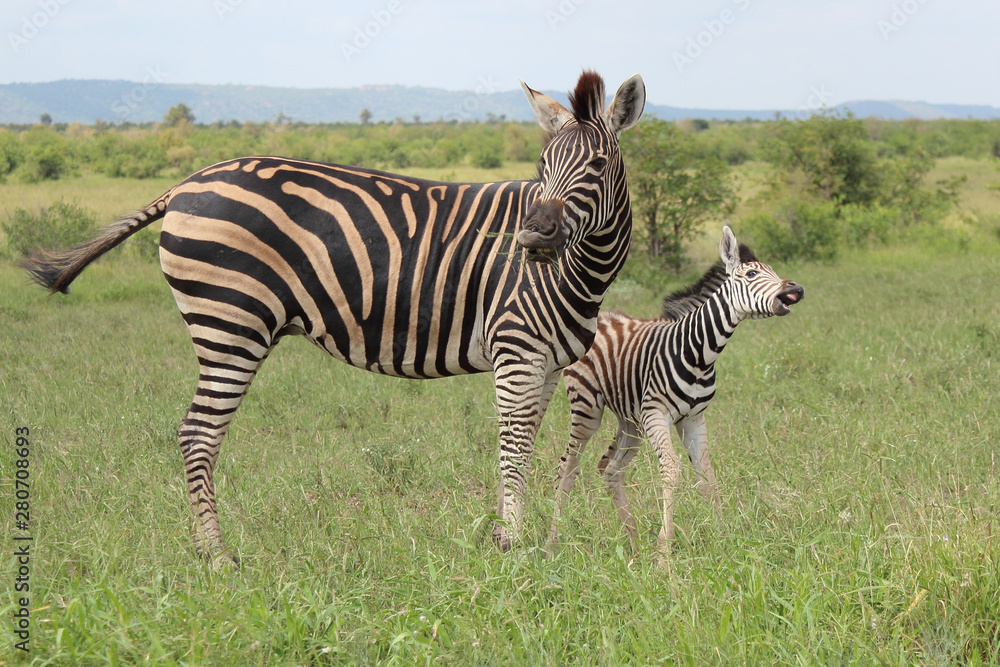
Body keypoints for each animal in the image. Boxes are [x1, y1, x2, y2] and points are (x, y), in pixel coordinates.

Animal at [24, 71, 645, 562]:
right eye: (542, 164)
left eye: (595, 164)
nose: (531, 238)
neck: (577, 269)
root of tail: (187, 182)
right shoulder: (516, 349)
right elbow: (513, 448)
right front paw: (511, 547)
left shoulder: (545, 363)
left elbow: (528, 446)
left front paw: (519, 535)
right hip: (231, 323)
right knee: (198, 432)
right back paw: (217, 556)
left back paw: (207, 550)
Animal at [546, 225, 804, 555]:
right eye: (750, 274)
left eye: (773, 271)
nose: (796, 289)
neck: (700, 353)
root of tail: (598, 316)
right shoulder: (657, 415)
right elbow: (672, 469)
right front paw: (664, 551)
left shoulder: (693, 419)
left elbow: (707, 475)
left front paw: (724, 539)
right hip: (587, 407)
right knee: (567, 467)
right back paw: (552, 543)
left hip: (630, 420)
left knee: (610, 468)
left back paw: (634, 544)